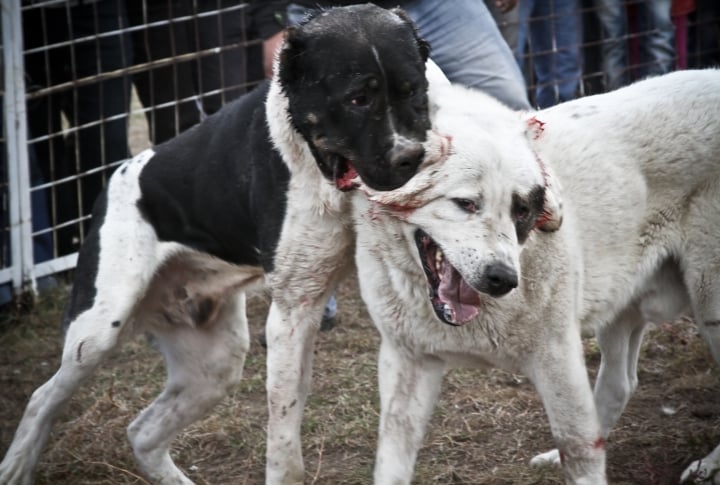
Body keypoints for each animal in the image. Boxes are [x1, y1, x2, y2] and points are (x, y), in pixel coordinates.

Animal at [1, 4, 434, 484]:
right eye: (358, 99)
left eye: (414, 90)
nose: (410, 158)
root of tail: (112, 181)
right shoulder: (293, 314)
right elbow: (284, 440)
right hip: (96, 331)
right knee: (43, 398)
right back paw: (16, 466)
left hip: (215, 363)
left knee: (142, 432)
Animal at [358, 69, 720, 484]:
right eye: (466, 203)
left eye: (522, 210)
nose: (502, 278)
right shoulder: (408, 364)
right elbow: (391, 461)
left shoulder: (558, 358)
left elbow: (579, 450)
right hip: (619, 307)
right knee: (620, 384)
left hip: (709, 307)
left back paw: (708, 466)